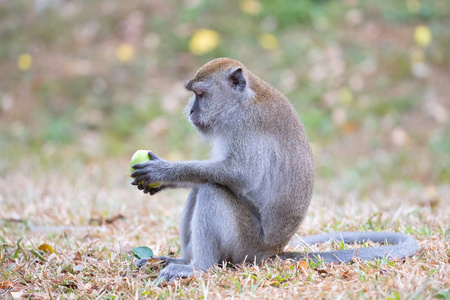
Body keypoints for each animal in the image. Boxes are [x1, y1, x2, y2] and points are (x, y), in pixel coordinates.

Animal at [130, 56, 418, 284]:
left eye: (200, 95)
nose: (191, 111)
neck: (244, 100)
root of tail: (273, 251)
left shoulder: (246, 126)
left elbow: (238, 174)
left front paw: (163, 171)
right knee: (201, 187)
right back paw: (182, 260)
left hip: (247, 245)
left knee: (212, 190)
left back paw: (199, 268)